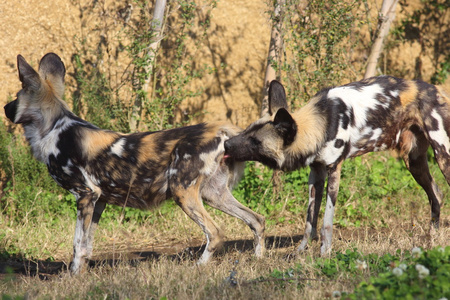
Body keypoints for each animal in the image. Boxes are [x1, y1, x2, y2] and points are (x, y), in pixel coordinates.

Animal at [5, 53, 266, 274]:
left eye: (15, 98)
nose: (5, 108)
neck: (52, 129)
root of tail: (221, 130)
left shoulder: (85, 195)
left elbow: (77, 245)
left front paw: (73, 278)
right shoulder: (99, 201)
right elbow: (87, 245)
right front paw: (81, 275)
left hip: (183, 192)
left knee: (216, 232)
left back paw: (199, 267)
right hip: (214, 195)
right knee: (257, 220)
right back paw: (258, 259)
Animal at [225, 77, 450, 255]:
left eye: (255, 141)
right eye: (247, 130)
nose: (226, 144)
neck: (321, 124)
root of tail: (438, 89)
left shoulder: (334, 171)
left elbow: (326, 221)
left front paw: (324, 253)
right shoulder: (315, 175)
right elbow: (309, 222)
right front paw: (300, 252)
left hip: (443, 155)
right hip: (413, 162)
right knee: (436, 194)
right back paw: (431, 241)